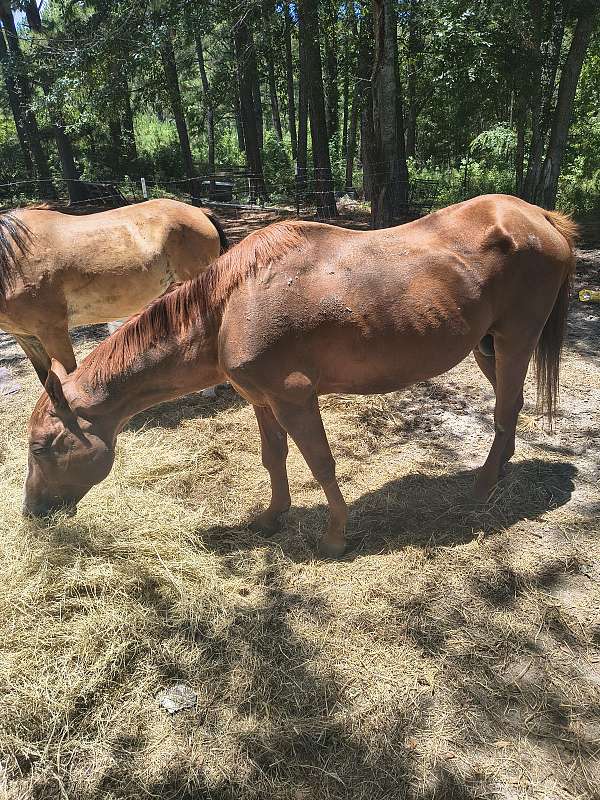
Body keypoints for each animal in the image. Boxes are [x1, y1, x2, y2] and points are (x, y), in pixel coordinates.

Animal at [23, 194, 577, 557]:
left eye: (41, 447)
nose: (31, 513)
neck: (230, 305)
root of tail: (538, 216)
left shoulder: (294, 398)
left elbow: (321, 464)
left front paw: (334, 536)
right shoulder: (261, 400)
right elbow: (275, 459)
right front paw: (272, 518)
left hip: (515, 339)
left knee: (506, 408)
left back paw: (482, 489)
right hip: (488, 347)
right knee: (509, 407)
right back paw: (498, 470)